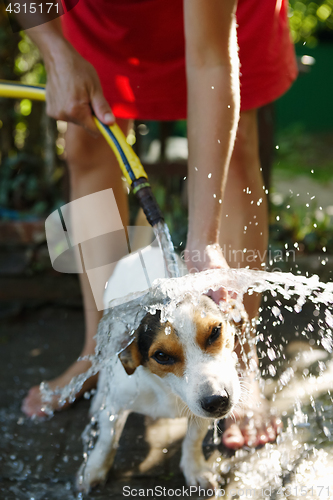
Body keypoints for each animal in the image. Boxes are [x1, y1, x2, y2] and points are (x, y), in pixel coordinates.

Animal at [76, 245, 245, 492]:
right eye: (162, 356)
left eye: (215, 331)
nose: (217, 400)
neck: (167, 391)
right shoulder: (117, 404)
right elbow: (107, 441)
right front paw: (95, 469)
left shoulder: (199, 413)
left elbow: (193, 438)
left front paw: (195, 469)